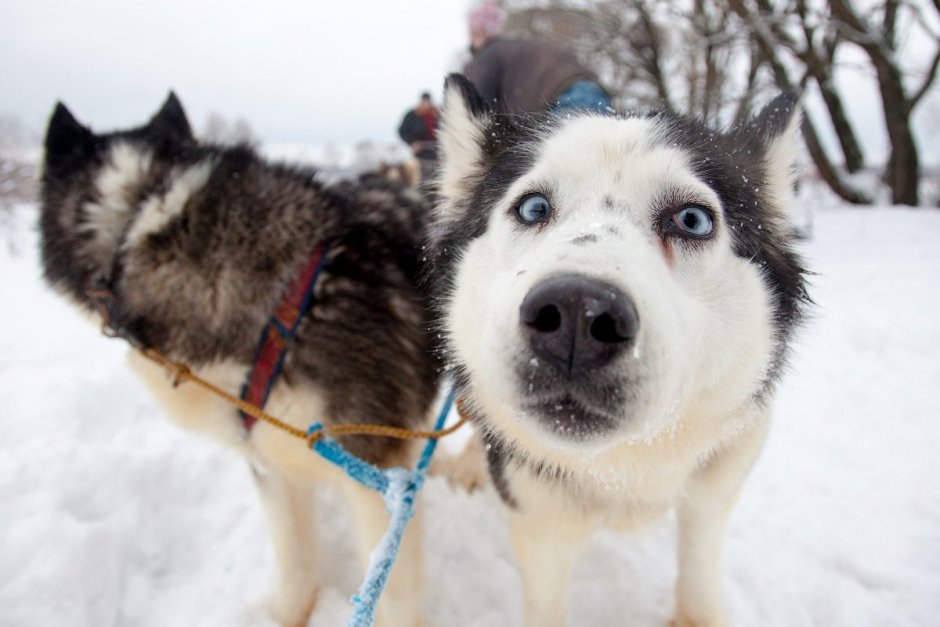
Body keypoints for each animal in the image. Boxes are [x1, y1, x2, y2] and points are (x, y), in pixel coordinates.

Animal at [430, 75, 812, 627]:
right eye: (532, 208)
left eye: (692, 220)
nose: (576, 316)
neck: (624, 467)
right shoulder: (540, 519)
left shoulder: (716, 488)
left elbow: (699, 578)